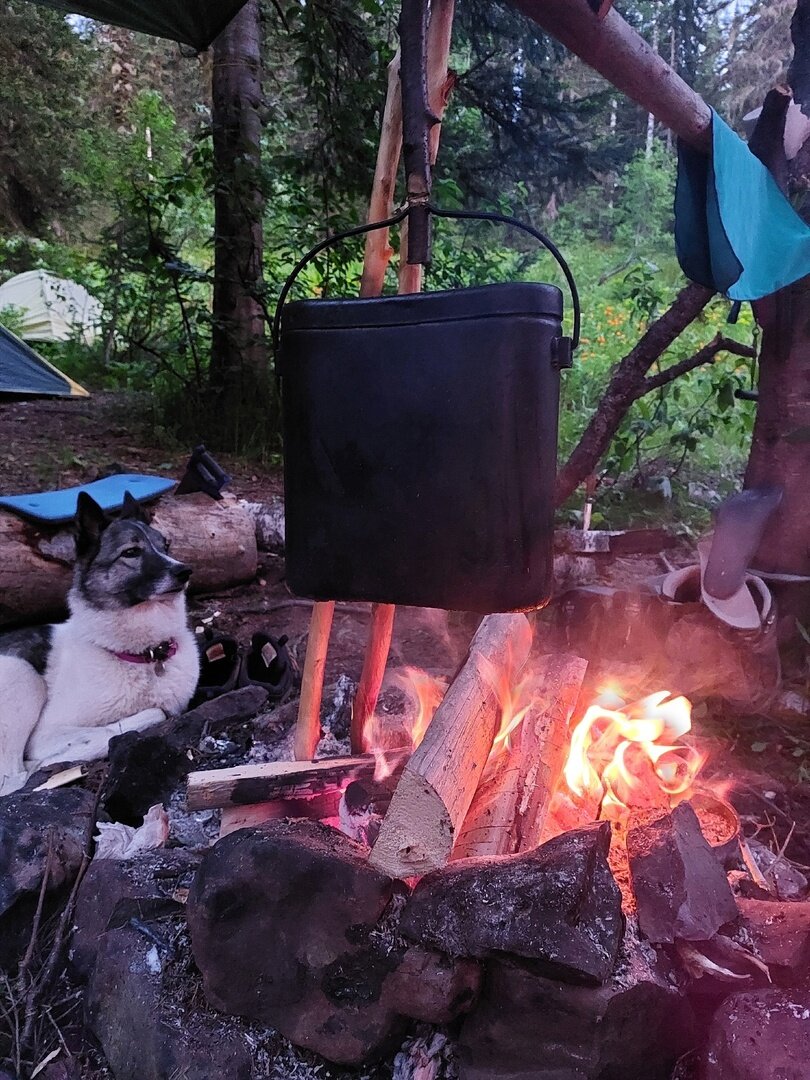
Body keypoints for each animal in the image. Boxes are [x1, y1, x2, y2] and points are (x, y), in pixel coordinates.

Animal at [0, 494, 200, 799]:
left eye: (165, 545)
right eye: (131, 552)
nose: (185, 571)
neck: (143, 656)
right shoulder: (45, 733)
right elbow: (143, 717)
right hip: (22, 677)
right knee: (11, 779)